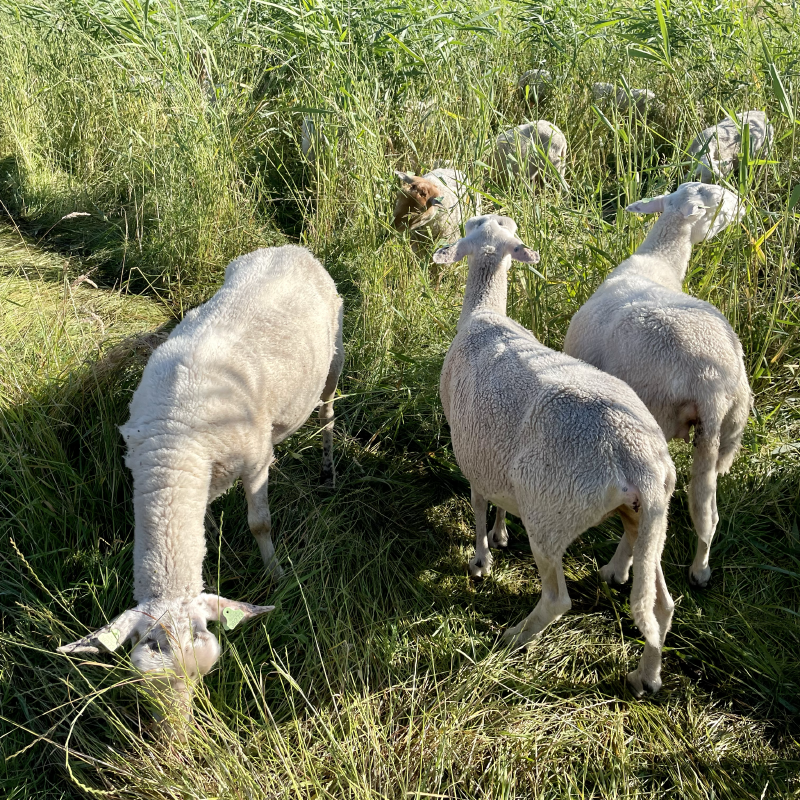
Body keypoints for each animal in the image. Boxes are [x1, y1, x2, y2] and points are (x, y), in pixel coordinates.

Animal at [56, 244, 344, 720]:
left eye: (203, 674)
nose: (176, 736)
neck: (176, 446)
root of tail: (290, 247)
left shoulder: (256, 461)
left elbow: (260, 523)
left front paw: (277, 575)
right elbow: (206, 518)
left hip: (334, 361)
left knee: (328, 411)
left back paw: (328, 466)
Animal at [438, 212, 676, 692]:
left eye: (474, 224)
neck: (485, 312)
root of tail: (638, 457)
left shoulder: (472, 454)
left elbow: (477, 504)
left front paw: (481, 559)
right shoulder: (495, 458)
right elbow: (498, 503)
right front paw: (500, 534)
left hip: (551, 513)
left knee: (557, 600)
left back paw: (514, 637)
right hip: (646, 518)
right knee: (659, 606)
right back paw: (645, 676)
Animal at [564, 184, 752, 592]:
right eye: (718, 201)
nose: (744, 206)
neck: (658, 263)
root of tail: (710, 383)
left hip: (655, 411)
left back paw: (616, 571)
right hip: (730, 425)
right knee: (706, 509)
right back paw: (700, 570)